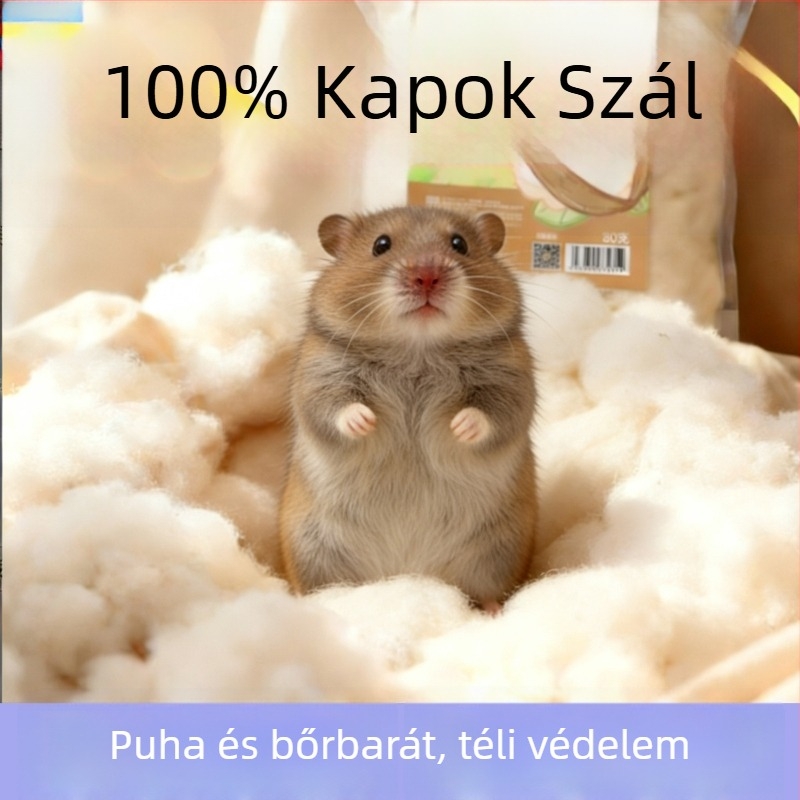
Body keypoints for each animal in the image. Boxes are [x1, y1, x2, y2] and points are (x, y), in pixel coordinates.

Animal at [279, 206, 537, 610]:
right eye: (380, 245)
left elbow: (490, 414)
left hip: (500, 549)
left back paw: (492, 611)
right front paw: (365, 420)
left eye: (459, 244)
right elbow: (337, 407)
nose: (427, 275)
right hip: (310, 546)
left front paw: (460, 426)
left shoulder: (512, 382)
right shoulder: (318, 377)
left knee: (487, 591)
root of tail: (405, 570)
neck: (417, 349)